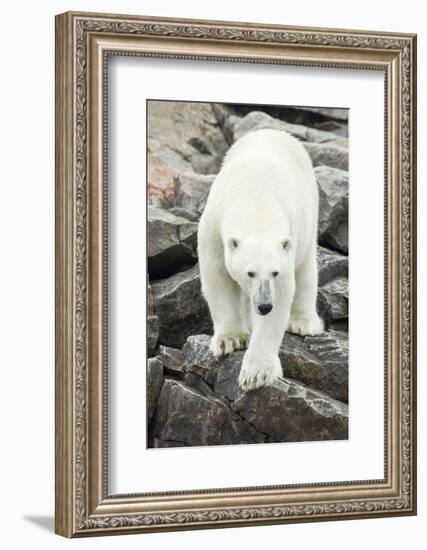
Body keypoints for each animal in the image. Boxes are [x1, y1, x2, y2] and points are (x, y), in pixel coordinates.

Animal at [197, 128, 324, 392]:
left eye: (274, 273)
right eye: (250, 272)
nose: (265, 306)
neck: (256, 201)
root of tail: (274, 130)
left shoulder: (287, 243)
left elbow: (284, 292)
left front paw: (256, 373)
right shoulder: (213, 227)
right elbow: (217, 278)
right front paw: (230, 340)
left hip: (310, 213)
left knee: (307, 269)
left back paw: (303, 323)